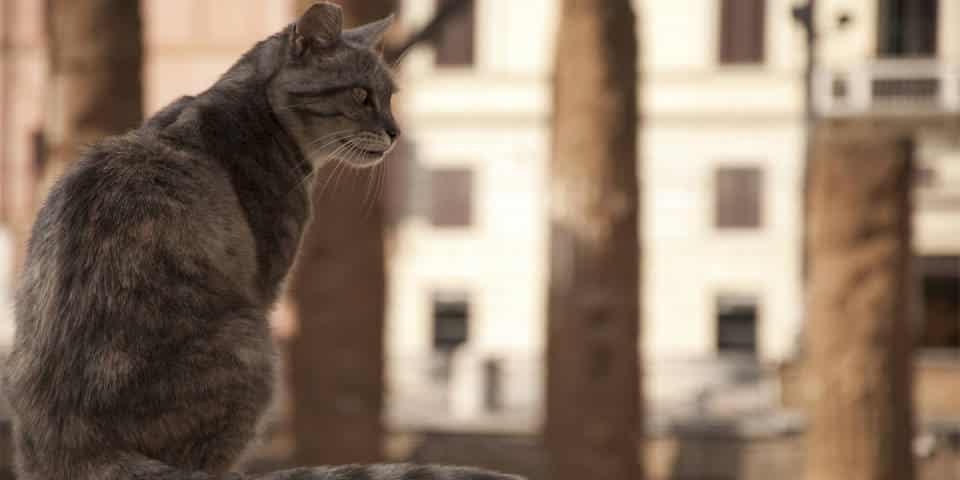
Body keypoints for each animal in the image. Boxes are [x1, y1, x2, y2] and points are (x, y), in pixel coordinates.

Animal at [3, 3, 520, 480]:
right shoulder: (268, 278)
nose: (395, 132)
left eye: (391, 97)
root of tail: (73, 446)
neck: (245, 104)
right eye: (361, 94)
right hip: (253, 343)